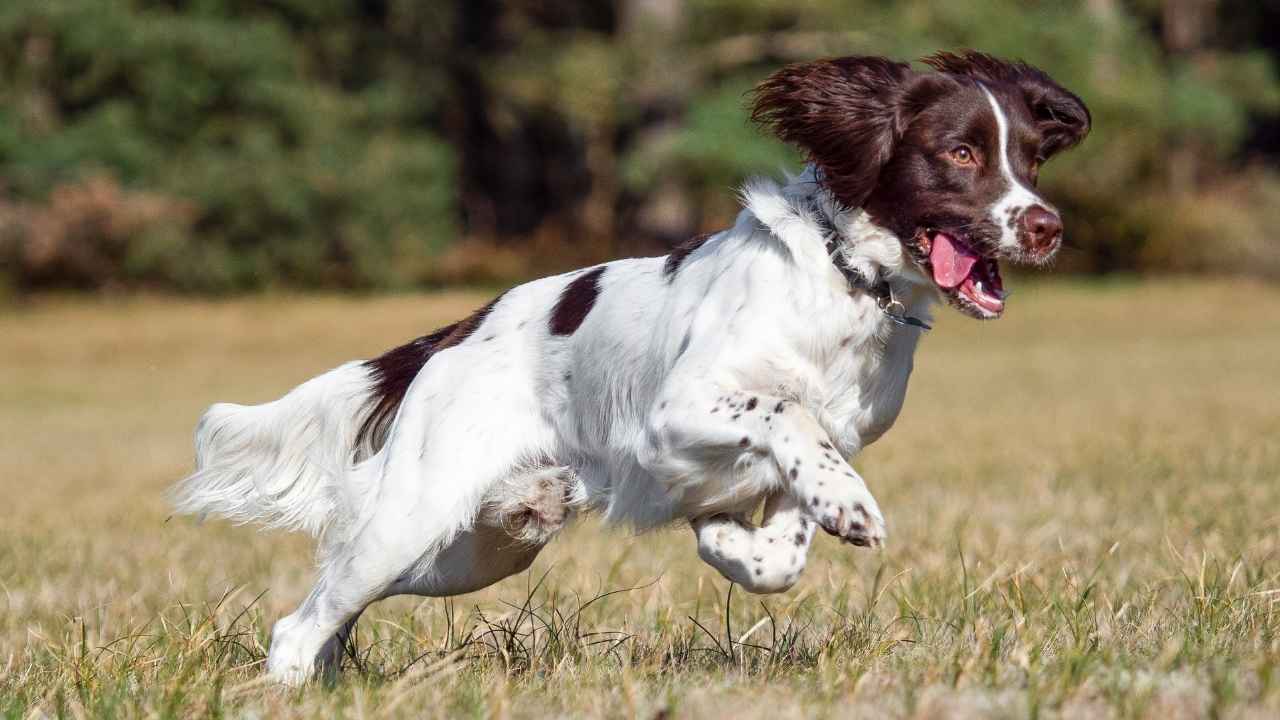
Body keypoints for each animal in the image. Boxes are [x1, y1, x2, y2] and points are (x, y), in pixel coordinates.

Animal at [170, 51, 1090, 681]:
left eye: (1031, 159)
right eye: (960, 154)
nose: (1047, 226)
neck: (845, 286)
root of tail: (460, 332)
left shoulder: (834, 438)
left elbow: (785, 535)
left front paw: (739, 542)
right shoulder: (675, 412)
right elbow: (786, 414)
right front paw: (847, 509)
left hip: (471, 551)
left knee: (336, 603)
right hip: (412, 516)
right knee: (301, 622)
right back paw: (289, 685)